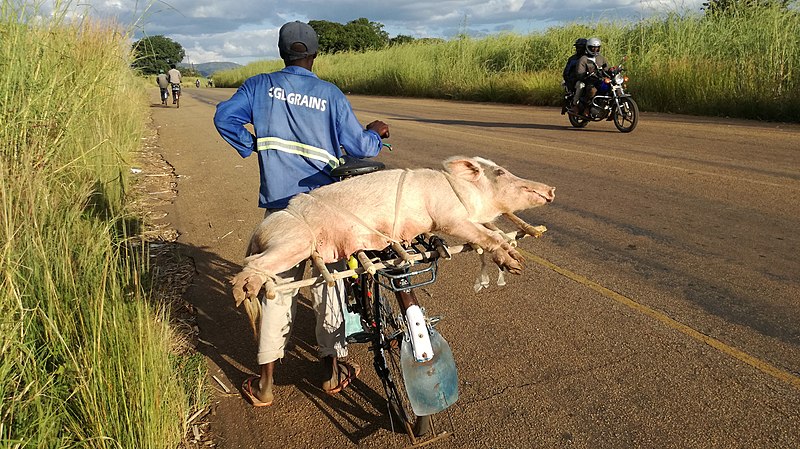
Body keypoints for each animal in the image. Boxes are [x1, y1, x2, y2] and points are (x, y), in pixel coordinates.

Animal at [234, 156, 552, 306]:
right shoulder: (448, 217)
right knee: (253, 263)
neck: (465, 194)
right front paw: (516, 264)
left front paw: (517, 263)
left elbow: (494, 232)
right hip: (294, 240)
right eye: (500, 173)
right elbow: (485, 236)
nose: (551, 189)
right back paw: (242, 292)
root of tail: (257, 231)